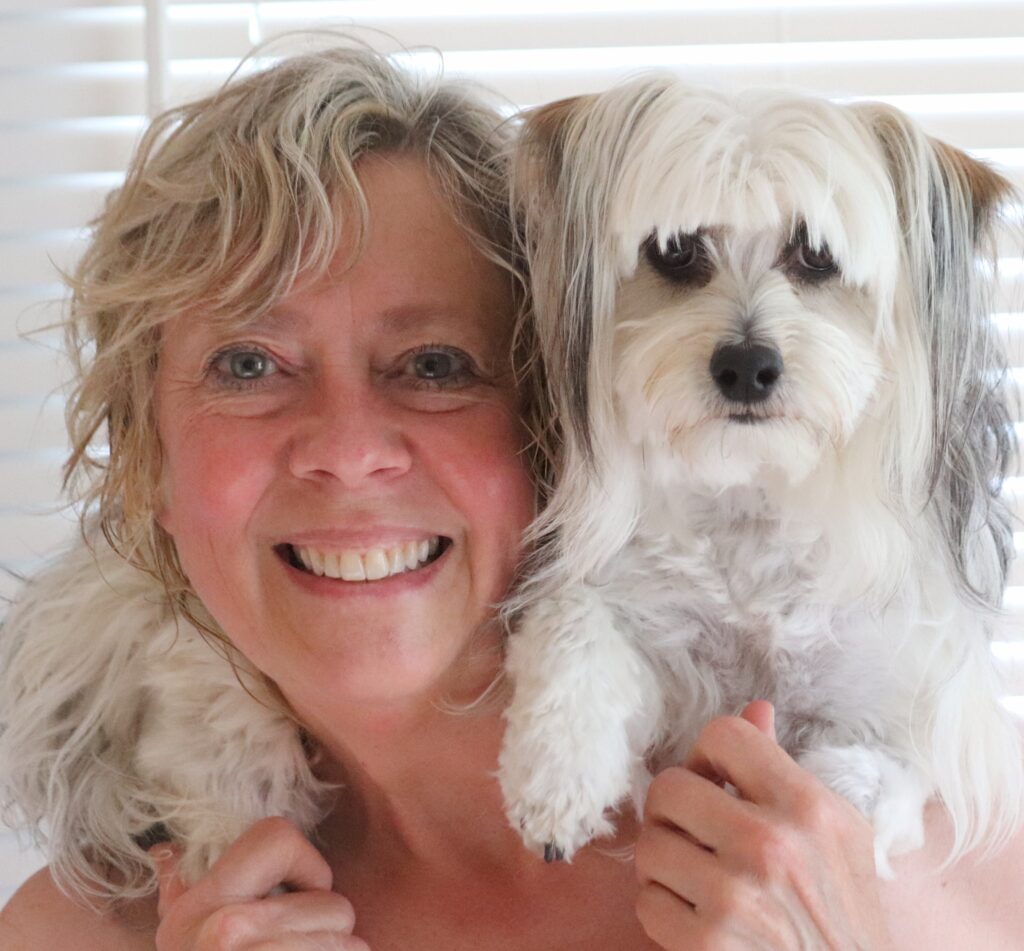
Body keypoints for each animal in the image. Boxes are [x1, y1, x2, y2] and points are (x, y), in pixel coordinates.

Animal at [497, 77, 1024, 880]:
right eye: (674, 249)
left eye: (816, 253)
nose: (746, 366)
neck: (753, 496)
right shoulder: (643, 615)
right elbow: (576, 629)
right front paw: (558, 780)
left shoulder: (888, 716)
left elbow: (850, 787)